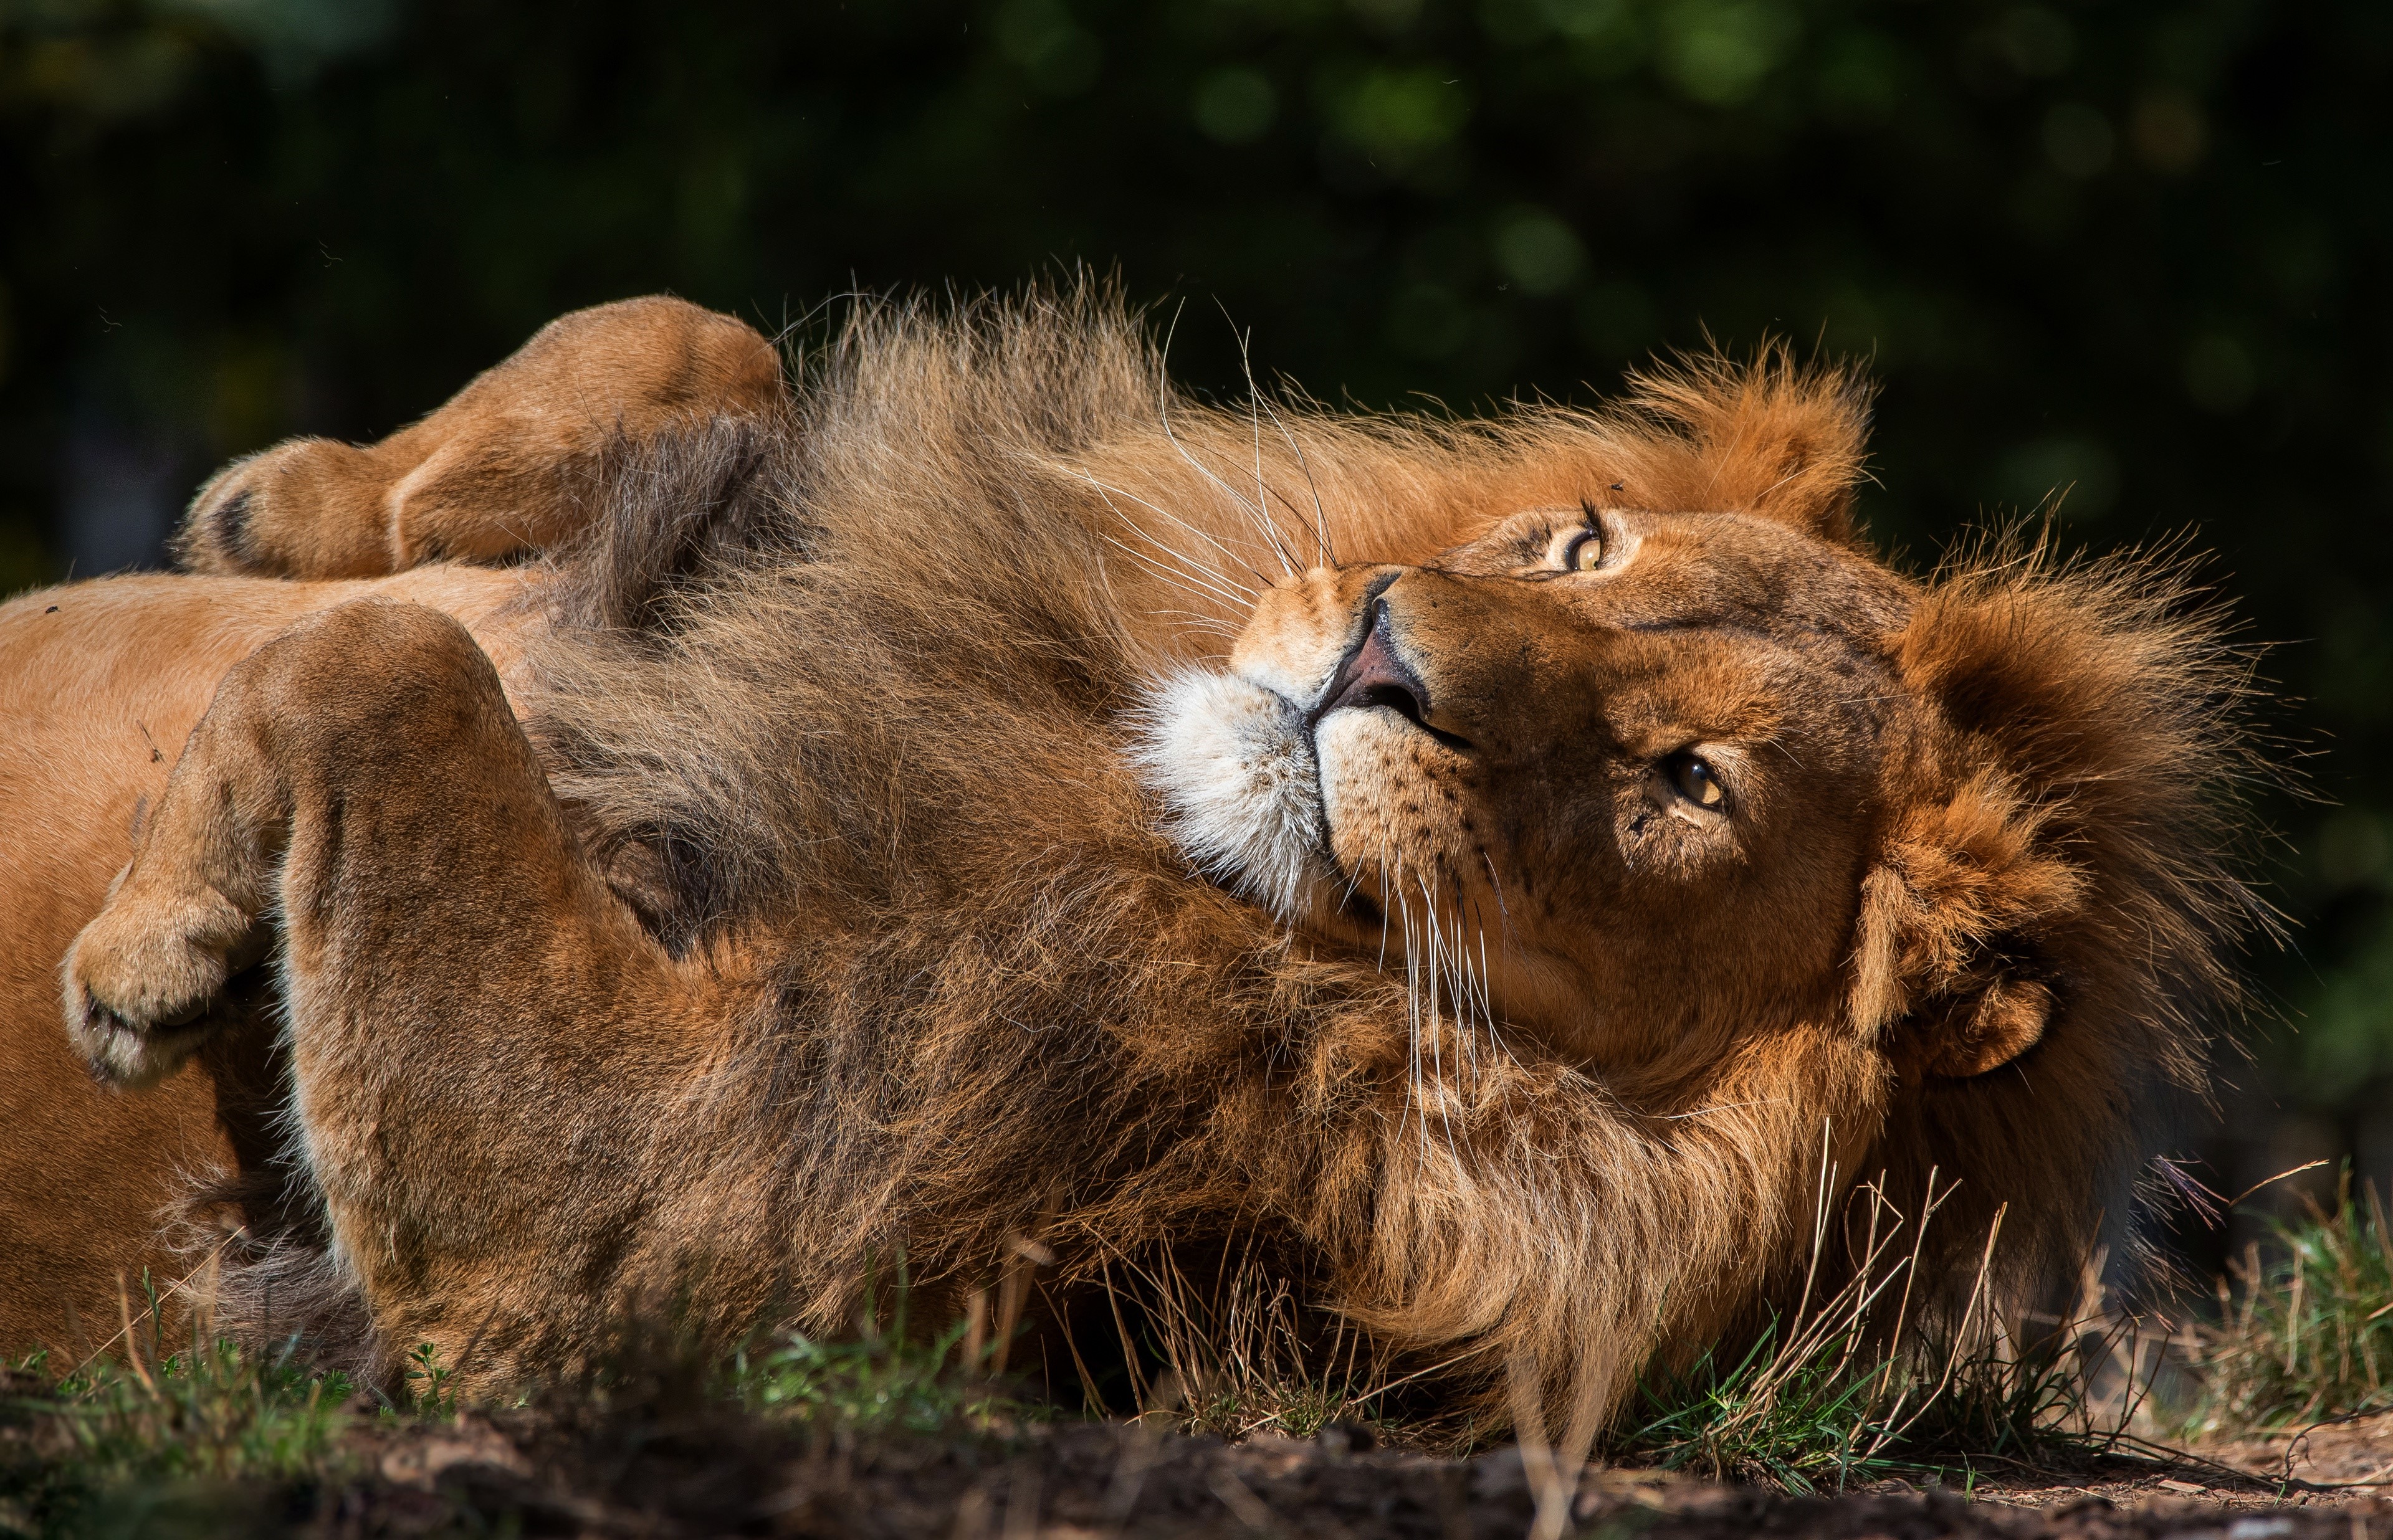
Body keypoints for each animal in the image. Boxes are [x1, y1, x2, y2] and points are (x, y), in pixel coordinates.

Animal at [1, 289, 2264, 1433]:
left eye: (1688, 784)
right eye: (1581, 546)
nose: (1382, 654)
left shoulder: (628, 1242)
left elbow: (379, 669)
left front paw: (148, 947)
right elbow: (692, 337)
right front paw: (290, 501)